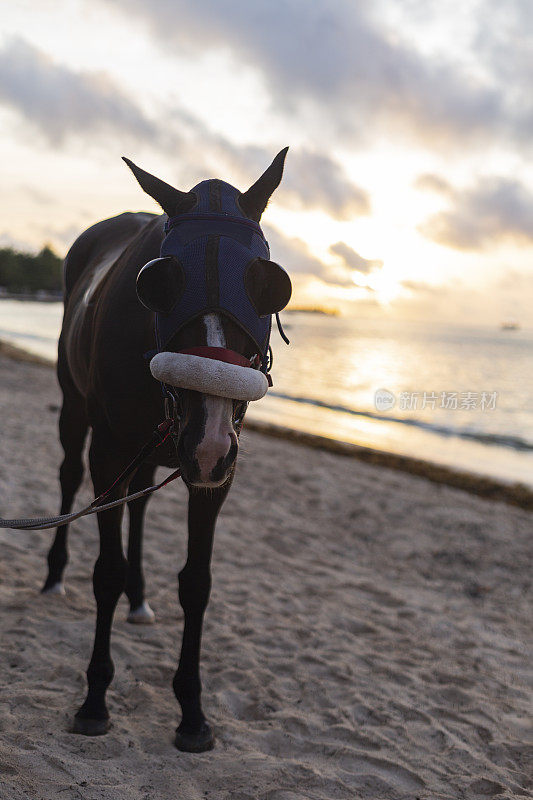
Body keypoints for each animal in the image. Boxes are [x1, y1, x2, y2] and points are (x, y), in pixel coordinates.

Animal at [41, 148, 290, 752]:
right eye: (159, 281)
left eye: (269, 284)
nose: (208, 439)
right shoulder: (110, 451)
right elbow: (105, 570)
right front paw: (95, 699)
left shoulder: (218, 469)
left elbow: (197, 583)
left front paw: (193, 712)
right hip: (76, 410)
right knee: (69, 477)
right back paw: (56, 576)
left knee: (139, 502)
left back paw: (138, 597)